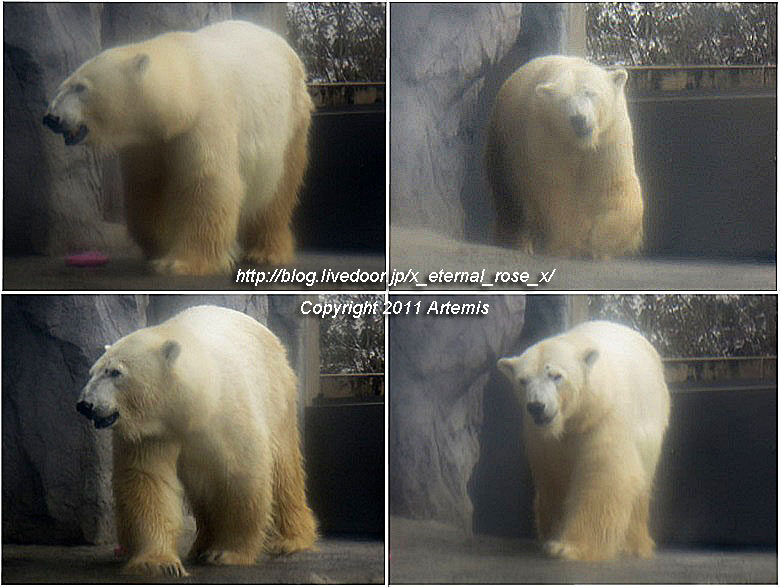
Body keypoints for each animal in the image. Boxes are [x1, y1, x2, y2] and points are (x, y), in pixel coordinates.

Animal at [44, 19, 312, 274]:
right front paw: (160, 246)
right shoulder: (147, 141)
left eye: (80, 87)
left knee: (277, 193)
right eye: (62, 86)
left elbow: (207, 183)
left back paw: (265, 252)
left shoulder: (206, 118)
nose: (51, 117)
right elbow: (147, 187)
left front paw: (180, 262)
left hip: (290, 123)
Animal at [74, 306, 316, 576]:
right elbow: (148, 480)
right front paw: (159, 563)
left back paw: (292, 540)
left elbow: (241, 477)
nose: (85, 404)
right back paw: (200, 546)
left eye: (116, 372)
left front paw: (226, 553)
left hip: (277, 396)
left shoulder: (229, 414)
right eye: (93, 371)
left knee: (284, 472)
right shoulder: (154, 431)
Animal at [484, 55, 644, 260]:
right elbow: (556, 190)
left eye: (590, 93)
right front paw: (568, 246)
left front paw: (599, 243)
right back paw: (517, 242)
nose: (579, 119)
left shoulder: (610, 136)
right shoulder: (548, 135)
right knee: (511, 202)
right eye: (563, 100)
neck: (582, 144)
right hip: (504, 148)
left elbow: (614, 186)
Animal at [500, 324, 672, 564]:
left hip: (651, 426)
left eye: (556, 375)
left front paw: (568, 547)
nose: (536, 406)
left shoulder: (606, 418)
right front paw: (551, 536)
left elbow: (606, 474)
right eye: (523, 380)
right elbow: (553, 479)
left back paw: (634, 546)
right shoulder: (543, 439)